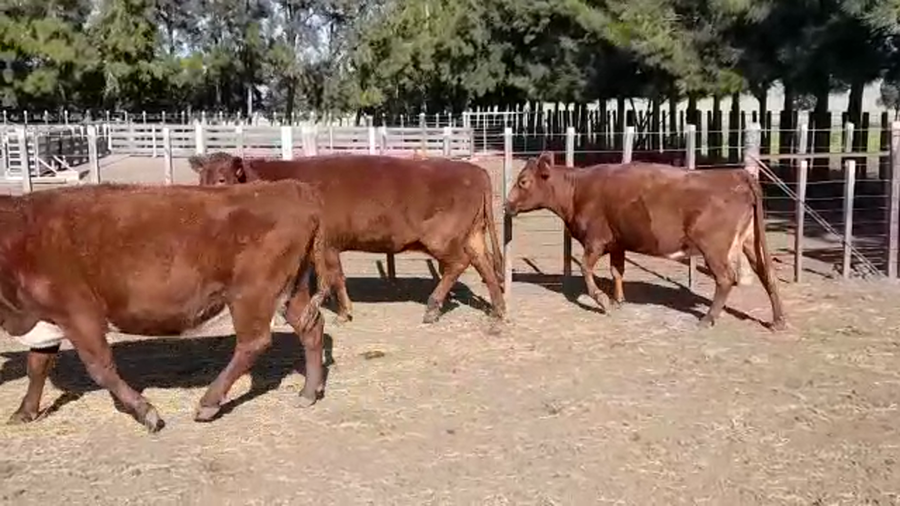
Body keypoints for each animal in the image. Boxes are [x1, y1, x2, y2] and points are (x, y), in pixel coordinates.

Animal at [0, 181, 335, 433]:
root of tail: (292, 188)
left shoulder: (79, 313)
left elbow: (100, 367)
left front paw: (145, 412)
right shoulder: (45, 319)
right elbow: (37, 367)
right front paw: (24, 412)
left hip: (251, 293)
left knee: (254, 342)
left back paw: (208, 404)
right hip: (291, 290)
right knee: (311, 327)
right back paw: (309, 392)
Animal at [188, 153, 506, 325]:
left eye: (222, 179)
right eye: (201, 179)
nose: (203, 201)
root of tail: (475, 170)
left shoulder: (328, 244)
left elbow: (335, 277)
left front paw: (342, 312)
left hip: (442, 238)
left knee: (458, 264)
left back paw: (433, 307)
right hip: (473, 235)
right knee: (486, 266)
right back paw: (498, 311)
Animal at [504, 152, 786, 330]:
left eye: (523, 181)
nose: (506, 205)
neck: (578, 190)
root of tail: (737, 175)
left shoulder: (595, 240)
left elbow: (586, 267)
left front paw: (602, 300)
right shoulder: (617, 242)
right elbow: (617, 271)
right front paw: (618, 300)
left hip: (714, 247)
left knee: (726, 279)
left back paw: (708, 318)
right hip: (751, 241)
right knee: (768, 274)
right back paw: (778, 321)